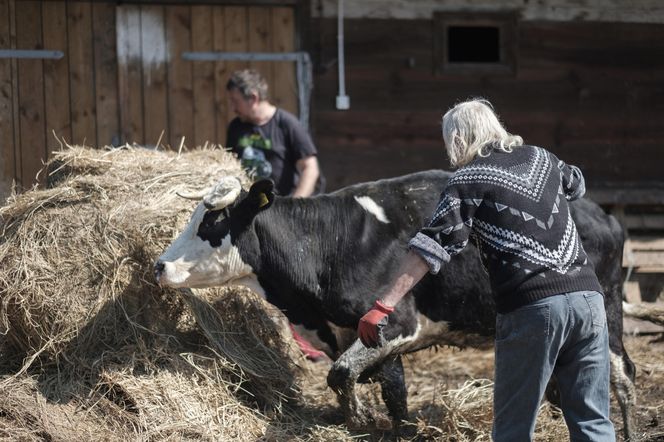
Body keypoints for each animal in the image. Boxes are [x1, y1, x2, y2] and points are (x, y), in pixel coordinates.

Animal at [156, 170, 640, 438]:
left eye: (212, 221)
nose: (160, 265)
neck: (327, 242)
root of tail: (602, 214)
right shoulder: (369, 336)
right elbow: (394, 395)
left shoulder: (397, 323)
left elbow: (340, 374)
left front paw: (360, 419)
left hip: (607, 318)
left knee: (623, 376)